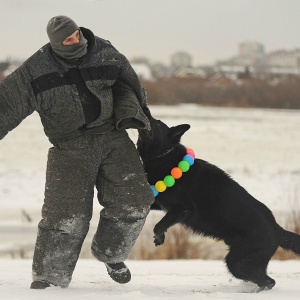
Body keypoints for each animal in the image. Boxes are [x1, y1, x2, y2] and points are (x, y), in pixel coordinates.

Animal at [137, 113, 300, 292]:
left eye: (156, 122)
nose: (145, 110)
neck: (165, 156)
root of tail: (277, 230)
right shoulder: (160, 204)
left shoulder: (183, 209)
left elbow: (158, 225)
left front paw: (159, 236)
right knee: (266, 280)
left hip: (237, 262)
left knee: (269, 281)